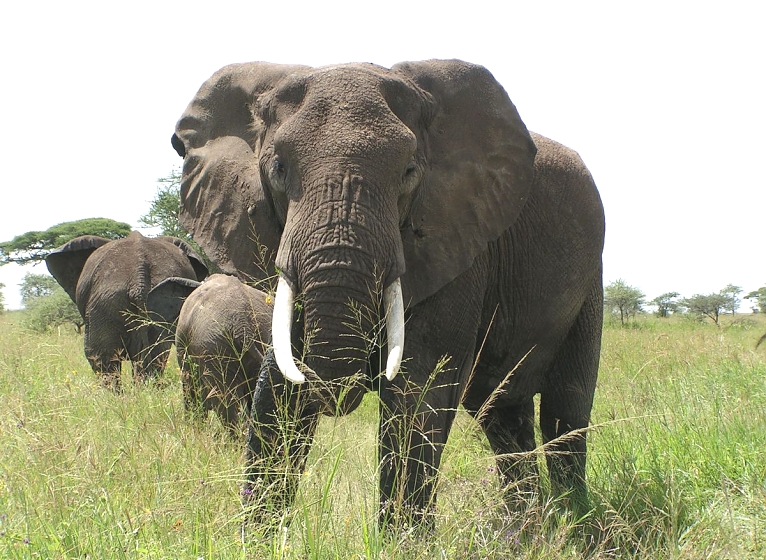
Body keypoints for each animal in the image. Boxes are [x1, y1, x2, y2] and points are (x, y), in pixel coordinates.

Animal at [171, 59, 605, 527]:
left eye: (409, 172)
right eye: (279, 168)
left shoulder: (459, 243)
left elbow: (418, 394)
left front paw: (403, 537)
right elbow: (278, 389)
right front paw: (261, 535)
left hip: (590, 279)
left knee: (566, 412)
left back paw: (573, 521)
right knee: (503, 416)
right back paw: (527, 526)